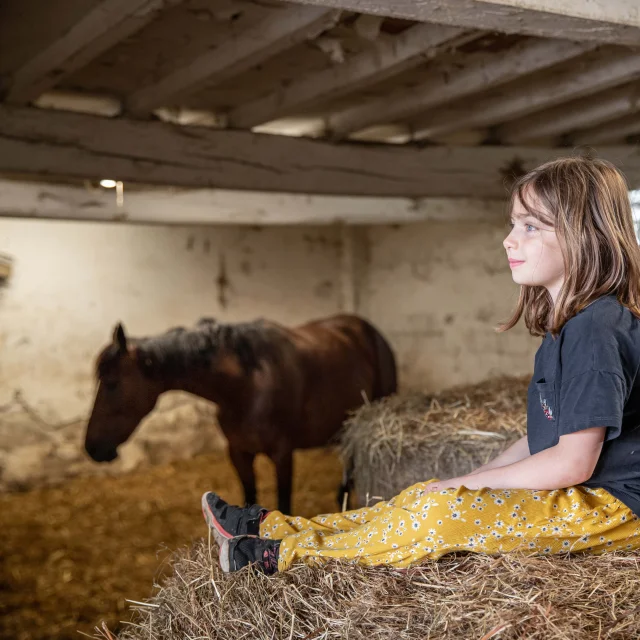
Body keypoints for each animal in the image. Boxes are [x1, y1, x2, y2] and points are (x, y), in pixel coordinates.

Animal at [84, 314, 397, 513]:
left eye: (111, 383)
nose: (92, 448)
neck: (246, 385)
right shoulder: (238, 453)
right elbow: (250, 498)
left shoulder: (282, 454)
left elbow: (284, 505)